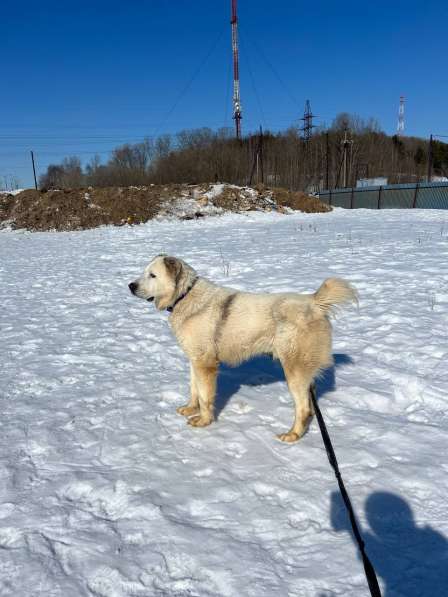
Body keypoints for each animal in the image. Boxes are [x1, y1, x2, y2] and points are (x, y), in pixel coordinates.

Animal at [130, 254, 356, 440]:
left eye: (152, 275)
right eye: (144, 272)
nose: (130, 286)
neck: (185, 295)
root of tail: (314, 302)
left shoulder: (205, 363)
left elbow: (204, 396)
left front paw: (203, 421)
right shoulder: (195, 360)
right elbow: (194, 389)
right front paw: (190, 408)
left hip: (294, 370)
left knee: (304, 409)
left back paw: (292, 435)